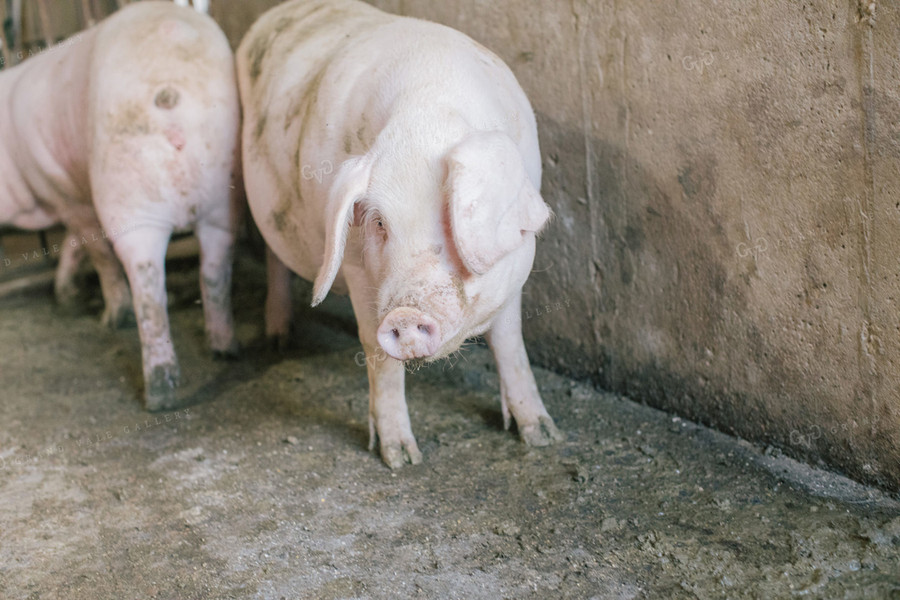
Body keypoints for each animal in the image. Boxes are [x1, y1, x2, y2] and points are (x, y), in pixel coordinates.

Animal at [0, 0, 241, 410]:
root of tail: (175, 94)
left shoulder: (65, 193)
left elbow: (96, 253)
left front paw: (86, 306)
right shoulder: (77, 194)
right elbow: (74, 245)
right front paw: (67, 295)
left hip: (130, 196)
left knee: (146, 280)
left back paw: (156, 389)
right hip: (224, 194)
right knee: (214, 268)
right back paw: (224, 349)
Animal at [239, 0, 564, 468]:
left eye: (450, 217)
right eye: (379, 223)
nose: (404, 315)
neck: (425, 115)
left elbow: (509, 340)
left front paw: (543, 436)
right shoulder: (355, 267)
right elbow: (377, 355)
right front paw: (402, 459)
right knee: (271, 255)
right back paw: (278, 340)